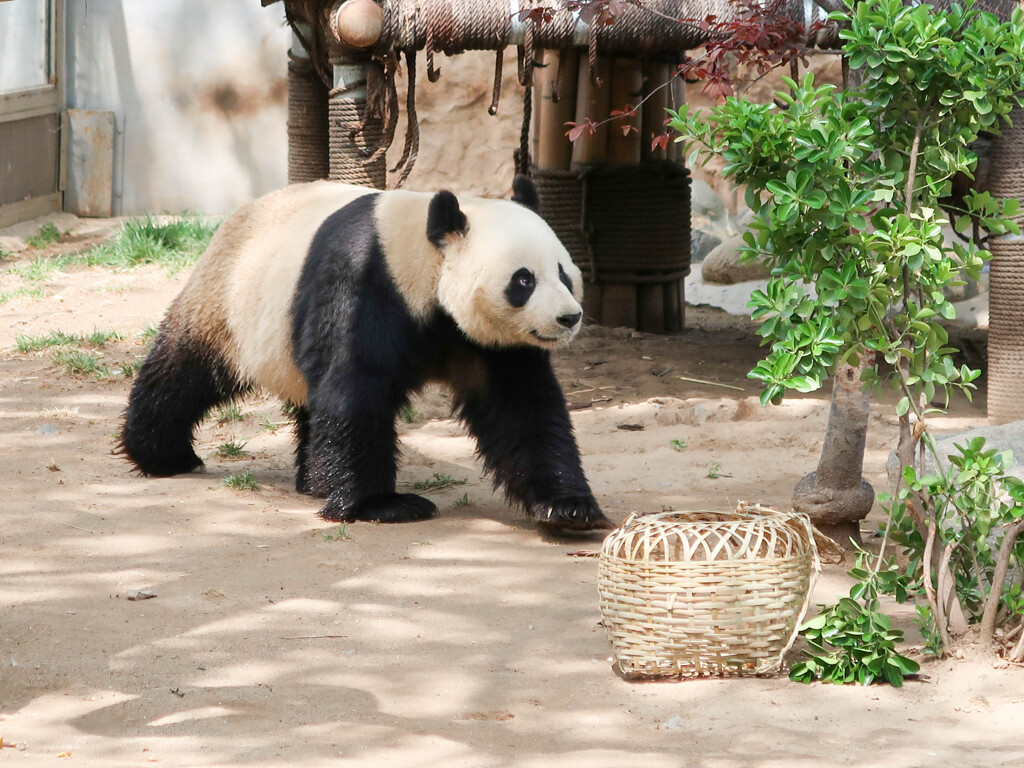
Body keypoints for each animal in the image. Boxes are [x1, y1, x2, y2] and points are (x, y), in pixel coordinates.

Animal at [122, 177, 610, 532]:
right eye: (523, 280)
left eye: (564, 274)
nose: (569, 317)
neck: (426, 259)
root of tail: (242, 211)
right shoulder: (367, 283)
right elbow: (355, 389)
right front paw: (382, 505)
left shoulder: (490, 343)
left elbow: (521, 407)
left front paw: (569, 509)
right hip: (229, 301)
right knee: (184, 371)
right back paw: (162, 454)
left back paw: (312, 481)